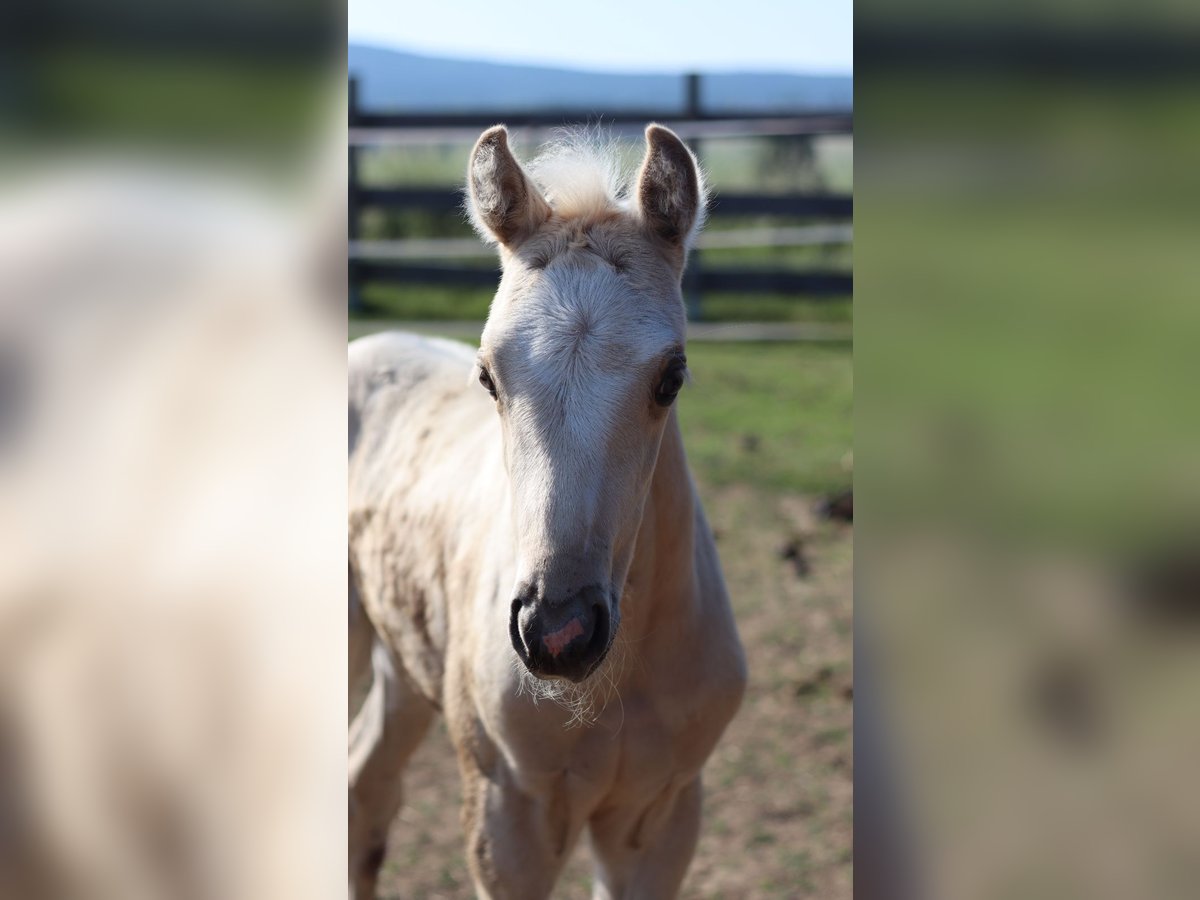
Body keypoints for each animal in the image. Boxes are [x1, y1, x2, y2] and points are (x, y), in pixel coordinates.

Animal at [345, 123, 748, 897]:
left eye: (672, 377)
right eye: (488, 376)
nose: (557, 632)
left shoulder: (661, 818)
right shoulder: (508, 818)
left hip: (402, 663)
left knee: (364, 793)